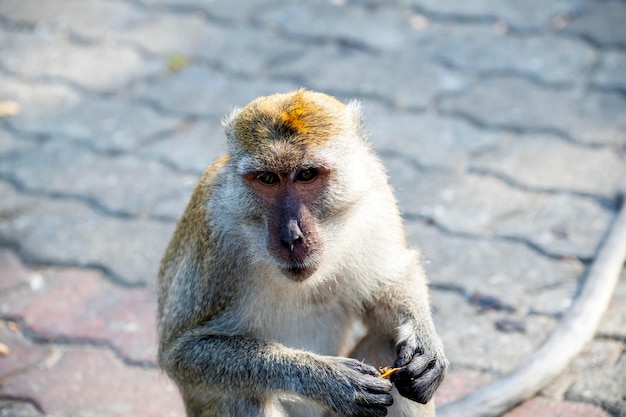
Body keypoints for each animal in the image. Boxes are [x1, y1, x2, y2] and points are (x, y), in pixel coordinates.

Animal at [158, 88, 446, 416]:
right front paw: (329, 379)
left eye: (307, 174)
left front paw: (424, 339)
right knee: (238, 394)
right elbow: (182, 351)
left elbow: (389, 281)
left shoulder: (375, 192)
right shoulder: (214, 231)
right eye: (268, 179)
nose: (290, 236)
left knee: (388, 342)